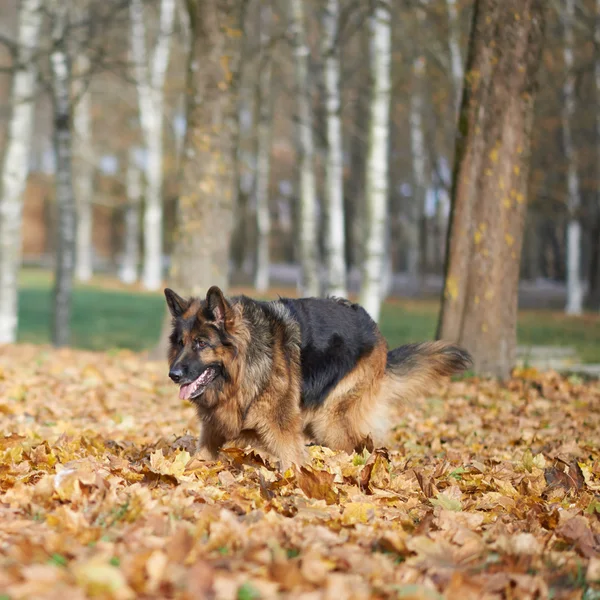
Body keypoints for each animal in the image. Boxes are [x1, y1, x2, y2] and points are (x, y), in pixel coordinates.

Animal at [165, 286, 474, 468]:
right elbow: (199, 458)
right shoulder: (213, 429)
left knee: (359, 445)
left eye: (201, 343)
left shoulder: (282, 431)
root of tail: (373, 325)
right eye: (181, 343)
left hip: (330, 420)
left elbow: (294, 462)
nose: (173, 375)